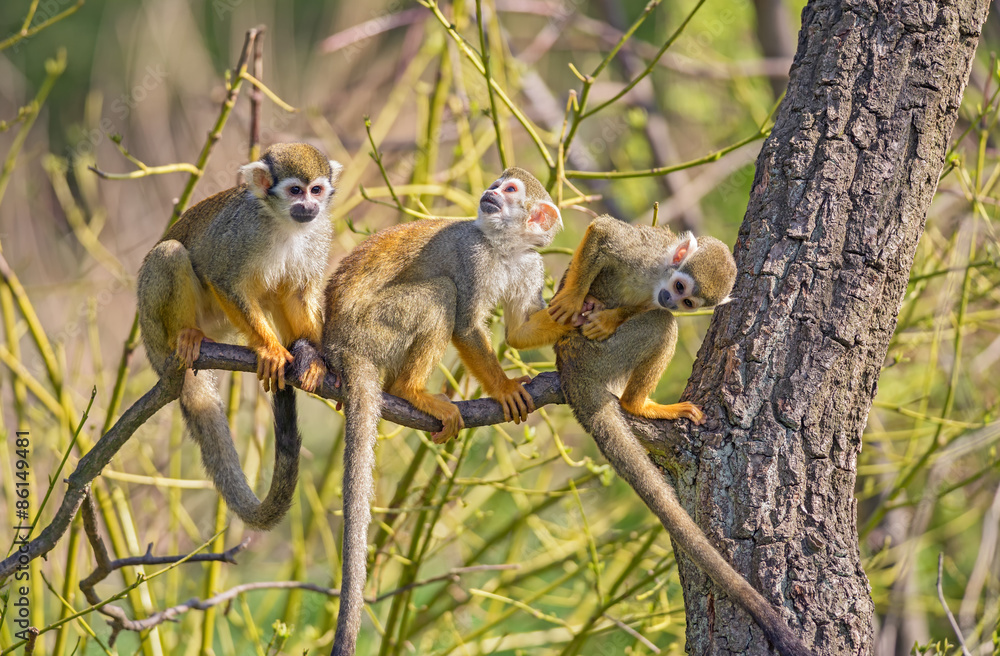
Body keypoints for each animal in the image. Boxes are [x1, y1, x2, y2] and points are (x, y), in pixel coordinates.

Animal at [136, 142, 341, 531]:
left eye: (316, 190)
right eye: (295, 190)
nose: (309, 207)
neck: (282, 222)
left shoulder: (319, 234)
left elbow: (297, 293)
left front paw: (316, 359)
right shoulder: (242, 232)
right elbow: (223, 279)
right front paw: (270, 349)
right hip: (153, 319)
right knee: (170, 253)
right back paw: (186, 336)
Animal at [323, 167, 562, 656]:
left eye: (510, 190)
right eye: (498, 183)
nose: (489, 193)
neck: (503, 248)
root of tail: (340, 345)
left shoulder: (531, 264)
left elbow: (520, 330)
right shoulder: (472, 254)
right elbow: (467, 325)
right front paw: (503, 387)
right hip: (373, 332)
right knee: (441, 292)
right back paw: (410, 390)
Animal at [547, 216, 812, 656]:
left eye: (690, 301)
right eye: (681, 286)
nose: (672, 300)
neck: (657, 274)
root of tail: (570, 368)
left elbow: (642, 308)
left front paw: (612, 316)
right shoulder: (641, 251)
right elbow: (603, 232)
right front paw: (572, 298)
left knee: (659, 321)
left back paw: (639, 401)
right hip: (596, 355)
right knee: (660, 325)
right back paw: (638, 402)